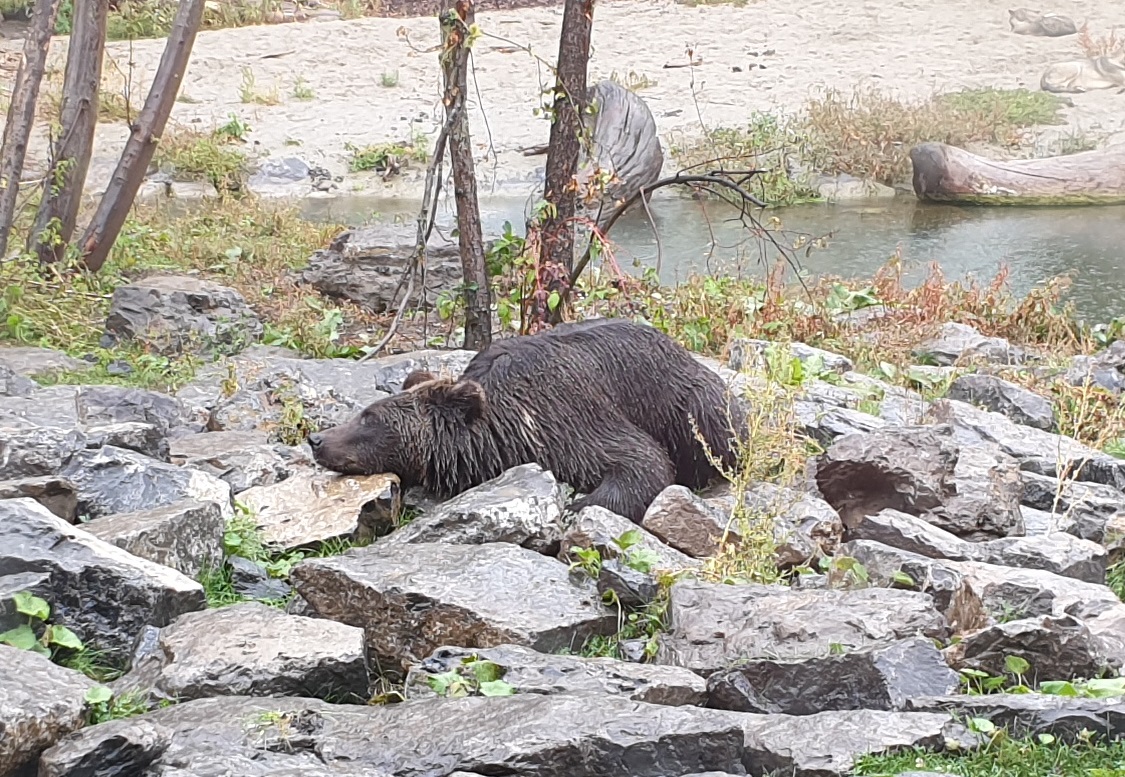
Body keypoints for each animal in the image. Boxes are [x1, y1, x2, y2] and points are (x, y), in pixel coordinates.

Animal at [307, 318, 746, 523]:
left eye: (370, 418)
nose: (317, 439)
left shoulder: (567, 417)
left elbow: (640, 462)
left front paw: (579, 503)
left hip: (689, 402)